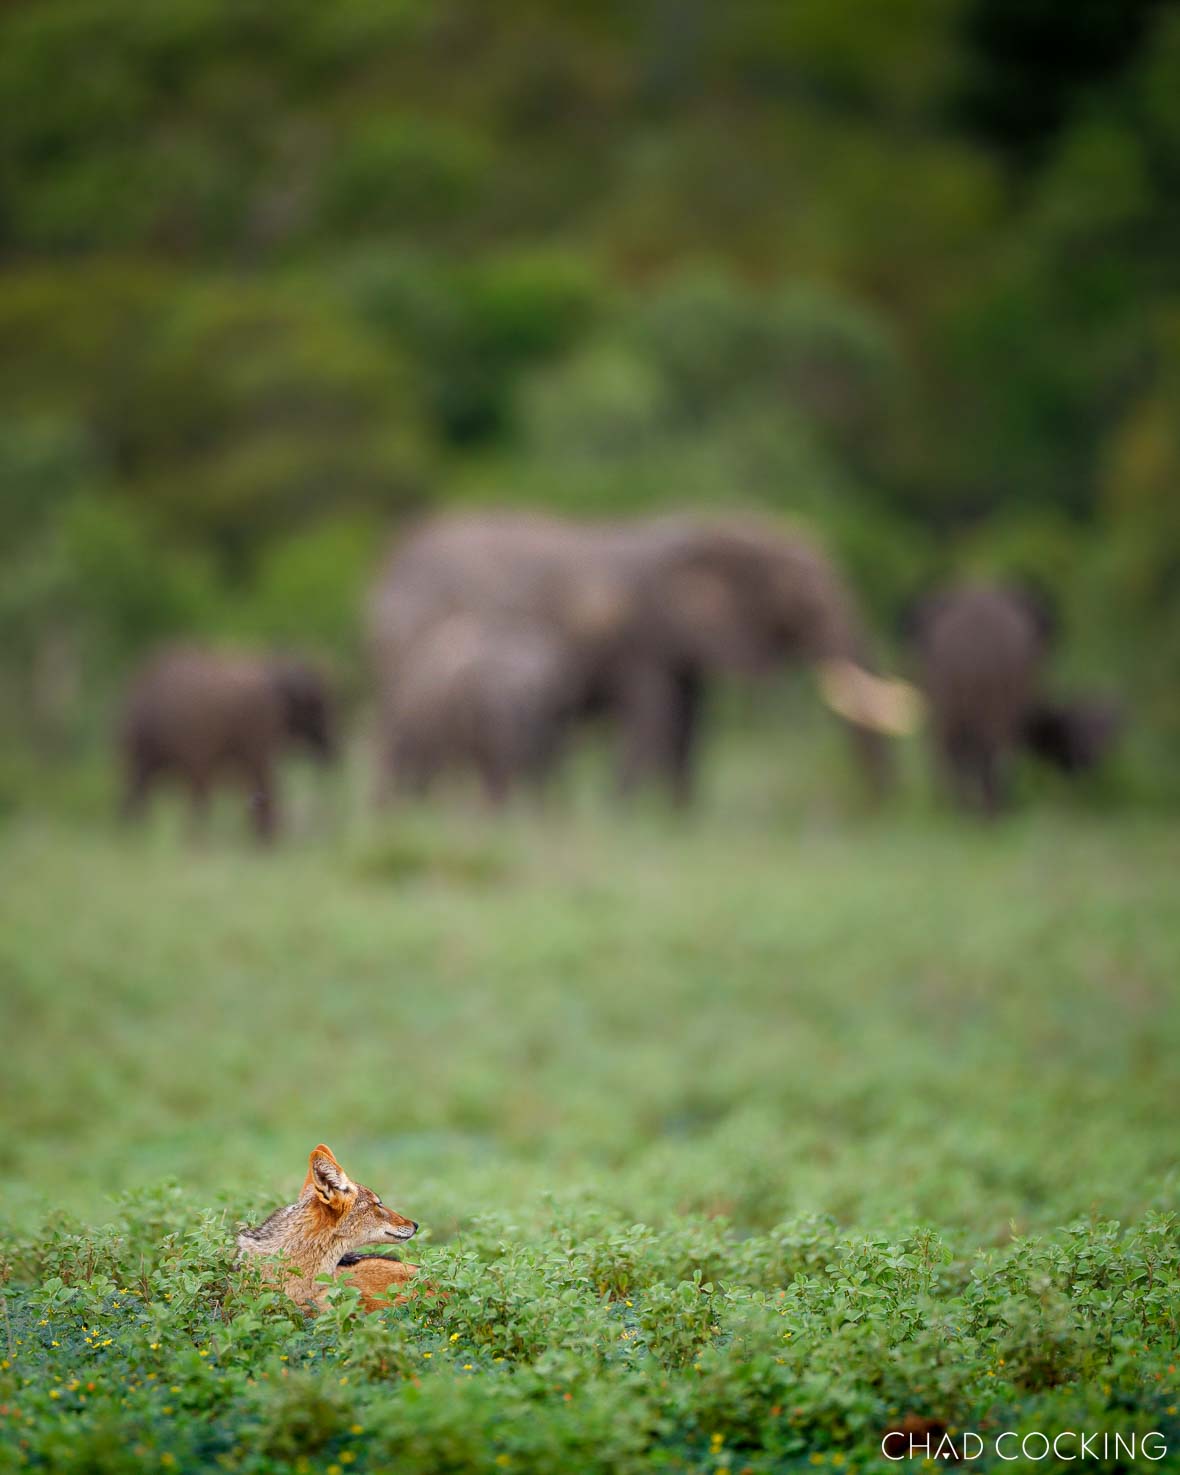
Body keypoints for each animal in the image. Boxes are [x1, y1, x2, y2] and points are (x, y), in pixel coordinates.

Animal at [370, 511, 916, 803]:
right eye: (804, 600)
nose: (877, 813)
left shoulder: (681, 650)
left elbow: (690, 727)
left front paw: (681, 823)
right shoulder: (644, 643)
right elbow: (654, 720)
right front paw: (626, 817)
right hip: (411, 644)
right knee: (402, 739)